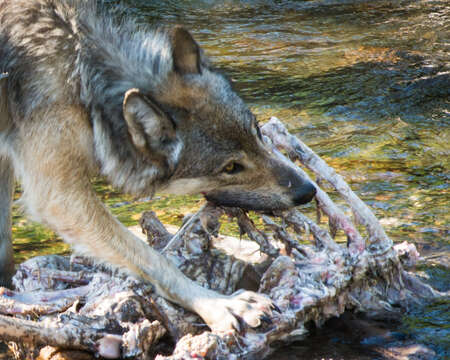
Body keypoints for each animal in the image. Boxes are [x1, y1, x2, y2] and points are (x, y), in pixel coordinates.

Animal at [0, 0, 314, 332]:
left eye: (256, 132)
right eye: (231, 167)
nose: (308, 191)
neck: (83, 81)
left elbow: (5, 249)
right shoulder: (59, 196)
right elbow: (155, 260)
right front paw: (219, 304)